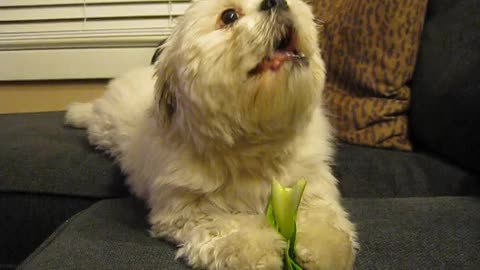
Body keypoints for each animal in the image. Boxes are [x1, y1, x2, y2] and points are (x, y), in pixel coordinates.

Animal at [64, 0, 356, 268]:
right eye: (229, 16)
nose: (276, 2)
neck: (256, 143)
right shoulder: (187, 210)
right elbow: (229, 228)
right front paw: (257, 252)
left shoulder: (311, 183)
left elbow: (323, 216)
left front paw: (326, 250)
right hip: (104, 129)